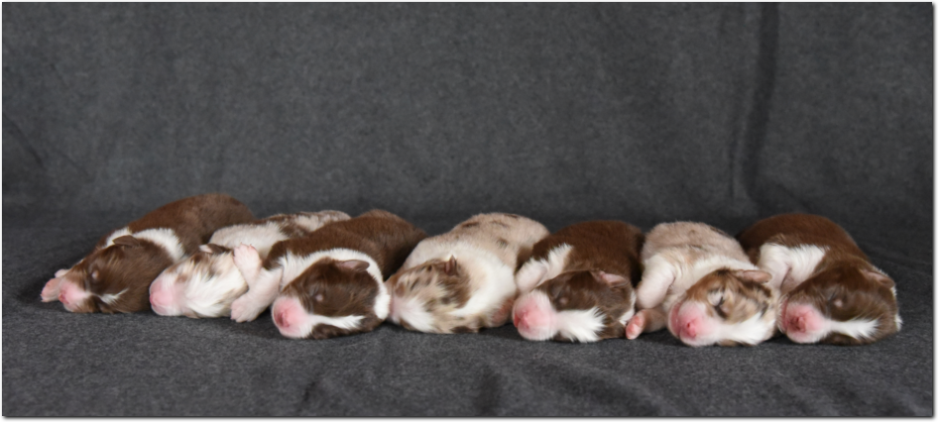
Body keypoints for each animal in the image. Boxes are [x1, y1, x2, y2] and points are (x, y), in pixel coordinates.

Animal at [41, 193, 255, 313]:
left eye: (101, 307)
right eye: (93, 273)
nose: (64, 297)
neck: (159, 247)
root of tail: (244, 205)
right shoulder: (113, 236)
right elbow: (81, 261)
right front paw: (54, 285)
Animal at [229, 210, 427, 340]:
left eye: (326, 331)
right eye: (316, 293)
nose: (283, 319)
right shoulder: (290, 250)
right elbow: (267, 285)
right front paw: (246, 307)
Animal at [626, 222, 777, 347]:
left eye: (724, 342)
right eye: (720, 301)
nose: (690, 329)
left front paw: (638, 324)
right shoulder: (675, 259)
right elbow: (648, 296)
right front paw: (636, 299)